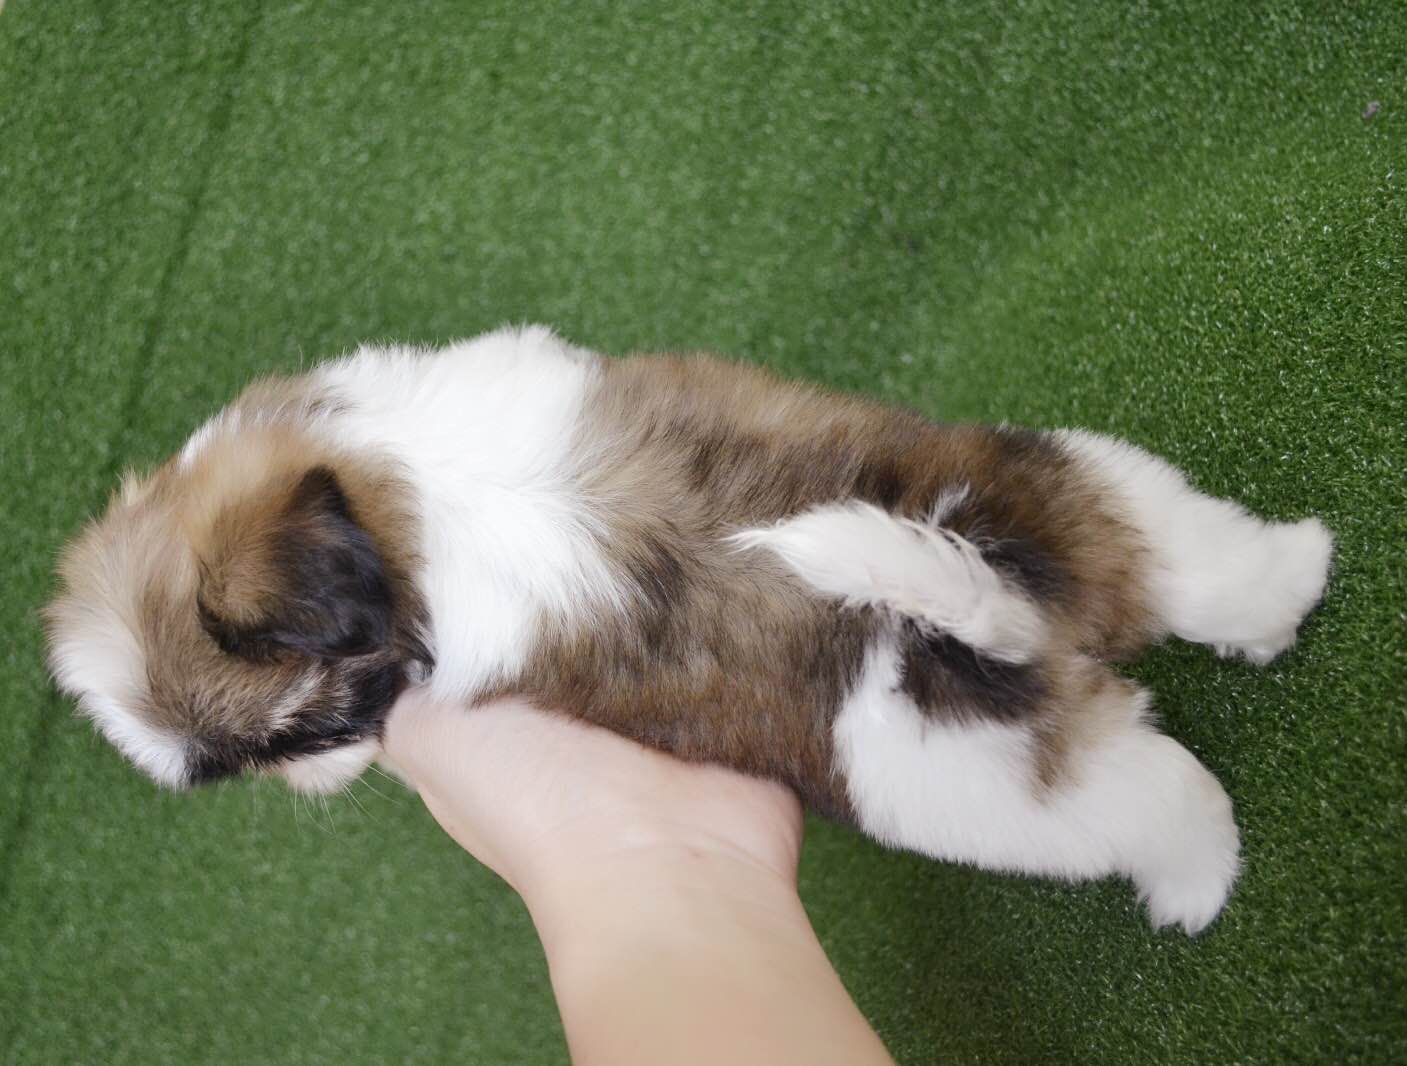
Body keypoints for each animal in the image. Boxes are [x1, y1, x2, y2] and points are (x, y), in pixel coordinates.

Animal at [45, 325, 1334, 933]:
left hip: (966, 785)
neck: (411, 501)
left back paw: (1194, 887)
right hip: (1057, 499)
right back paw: (1290, 582)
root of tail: (983, 608)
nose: (311, 774)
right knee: (1185, 560)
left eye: (315, 721)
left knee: (1157, 806)